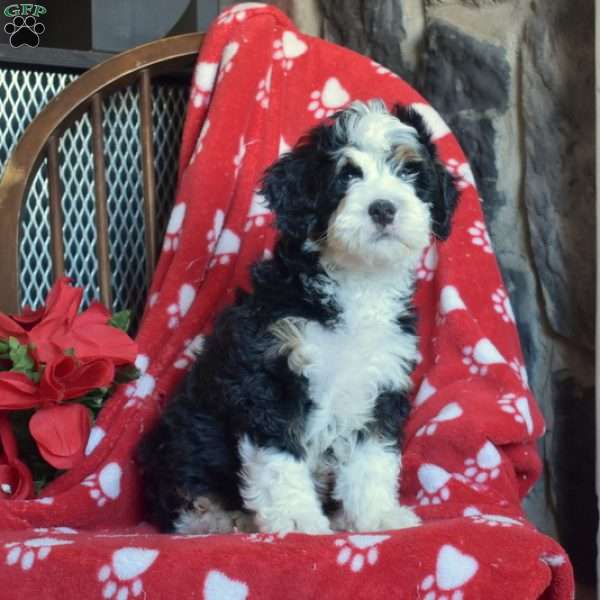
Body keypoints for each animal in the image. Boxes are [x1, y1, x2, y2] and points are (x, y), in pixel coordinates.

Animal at [138, 98, 458, 536]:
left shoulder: (382, 380)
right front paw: (295, 519)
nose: (383, 208)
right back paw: (224, 519)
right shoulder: (270, 375)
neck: (357, 282)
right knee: (187, 499)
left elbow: (373, 457)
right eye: (346, 175)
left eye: (410, 172)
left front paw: (377, 515)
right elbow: (279, 458)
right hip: (184, 440)